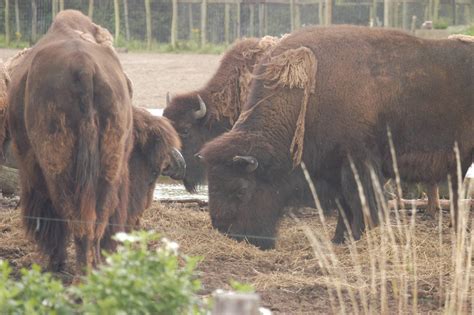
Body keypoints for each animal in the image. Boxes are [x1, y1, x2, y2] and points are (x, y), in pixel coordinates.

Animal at [7, 10, 134, 274]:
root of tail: (84, 67)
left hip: (59, 167)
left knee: (74, 218)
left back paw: (76, 273)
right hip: (109, 167)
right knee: (96, 220)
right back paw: (93, 270)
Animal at [200, 25, 474, 249]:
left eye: (240, 189)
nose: (226, 231)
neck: (310, 96)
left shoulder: (358, 163)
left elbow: (359, 202)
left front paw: (359, 237)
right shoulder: (336, 168)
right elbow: (346, 204)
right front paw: (340, 238)